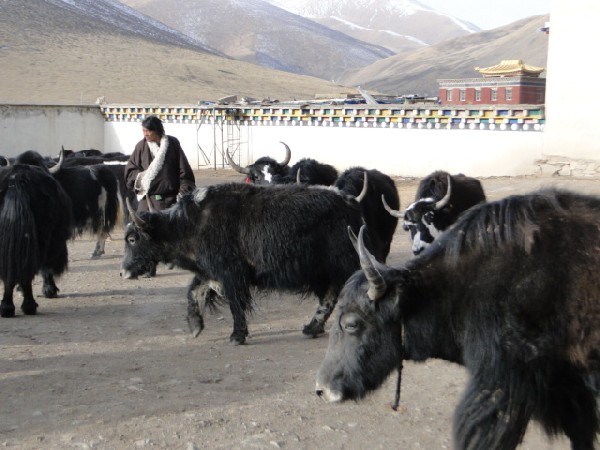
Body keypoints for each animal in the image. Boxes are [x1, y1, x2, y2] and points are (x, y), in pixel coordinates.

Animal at [0, 163, 73, 316]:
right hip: (44, 239)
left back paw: (8, 307)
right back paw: (28, 305)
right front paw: (50, 290)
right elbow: (46, 268)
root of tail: (17, 179)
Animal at [120, 182, 371, 345]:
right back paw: (311, 328)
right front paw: (195, 327)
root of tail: (351, 203)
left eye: (132, 239)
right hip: (320, 272)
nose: (123, 272)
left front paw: (237, 336)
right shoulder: (211, 271)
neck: (187, 224)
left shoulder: (230, 273)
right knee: (329, 296)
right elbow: (193, 291)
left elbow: (235, 303)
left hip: (340, 264)